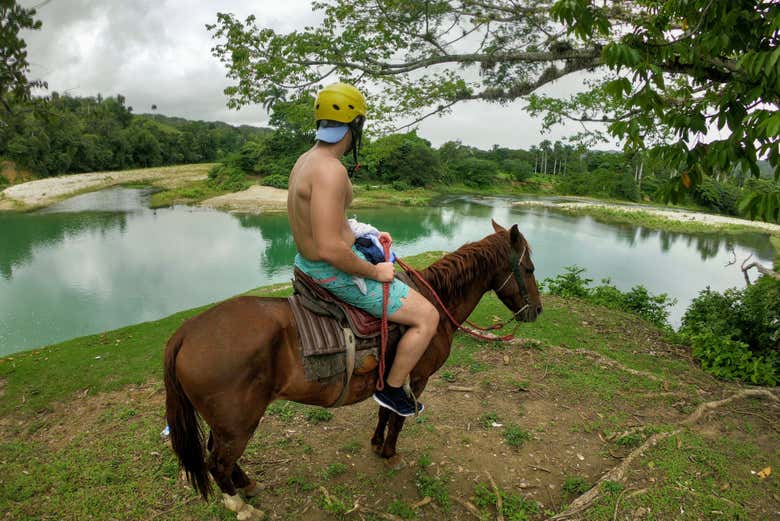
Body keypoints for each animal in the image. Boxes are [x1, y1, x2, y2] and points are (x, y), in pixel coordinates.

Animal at [163, 220, 544, 520]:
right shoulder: (417, 378)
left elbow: (385, 410)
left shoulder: (391, 380)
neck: (436, 306)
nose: (537, 311)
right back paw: (242, 507)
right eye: (529, 269)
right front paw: (390, 453)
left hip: (228, 421)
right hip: (239, 422)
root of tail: (185, 332)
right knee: (217, 463)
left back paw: (247, 484)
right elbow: (399, 418)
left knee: (218, 453)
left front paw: (376, 444)